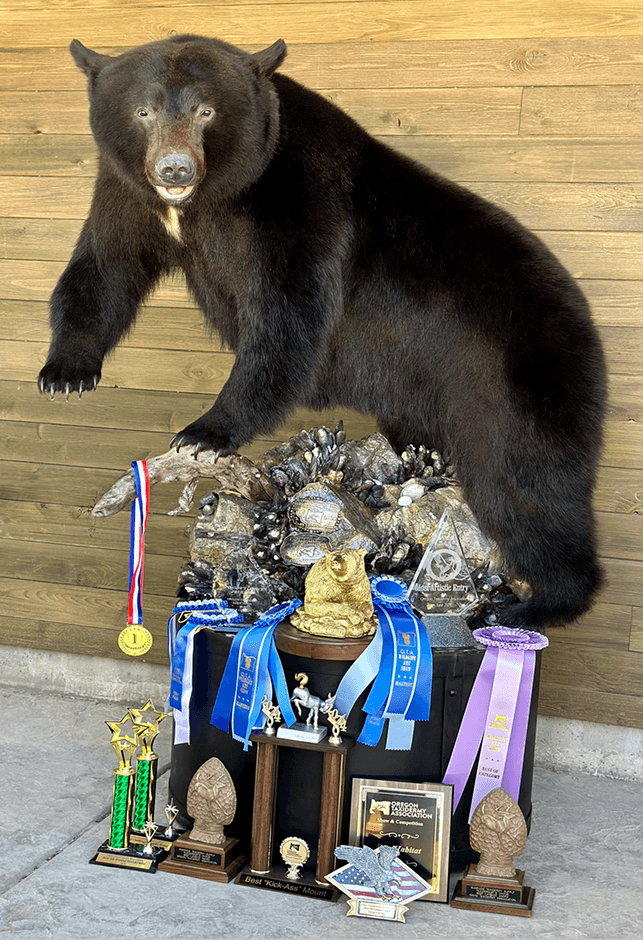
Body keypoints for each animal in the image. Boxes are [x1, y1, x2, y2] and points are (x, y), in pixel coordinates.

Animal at [37, 35, 607, 631]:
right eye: (143, 111)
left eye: (205, 110)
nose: (174, 169)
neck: (210, 200)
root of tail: (584, 319)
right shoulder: (128, 196)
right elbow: (105, 264)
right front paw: (66, 373)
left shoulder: (298, 203)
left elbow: (287, 315)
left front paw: (205, 430)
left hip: (512, 383)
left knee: (526, 486)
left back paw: (537, 602)